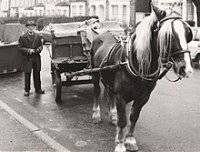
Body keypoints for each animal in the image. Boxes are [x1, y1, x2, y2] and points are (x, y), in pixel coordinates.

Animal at [90, 3, 193, 152]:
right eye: (168, 36)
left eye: (187, 33)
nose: (187, 69)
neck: (138, 65)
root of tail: (103, 33)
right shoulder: (121, 95)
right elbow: (123, 121)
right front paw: (120, 144)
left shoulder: (144, 96)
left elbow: (134, 117)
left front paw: (130, 140)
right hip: (95, 74)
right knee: (97, 92)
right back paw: (96, 114)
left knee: (110, 93)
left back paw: (113, 115)